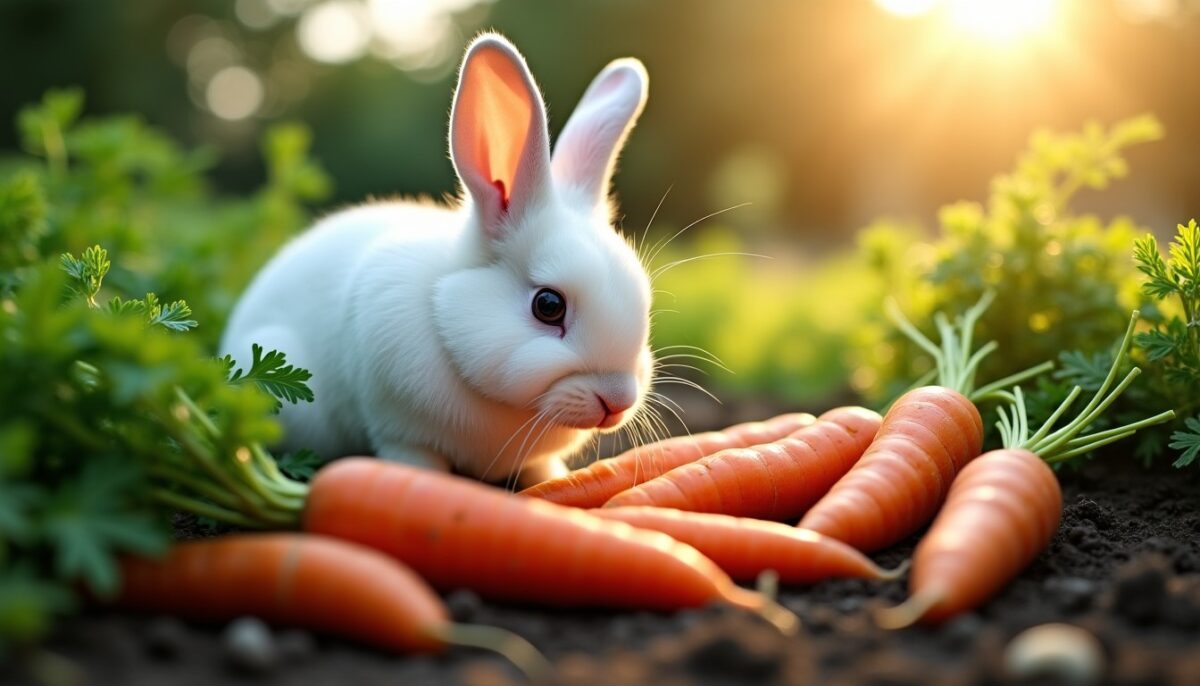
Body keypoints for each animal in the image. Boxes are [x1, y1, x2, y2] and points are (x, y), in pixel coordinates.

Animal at [220, 33, 653, 489]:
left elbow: (541, 468)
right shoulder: (402, 433)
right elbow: (415, 461)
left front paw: (554, 480)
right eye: (548, 306)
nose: (617, 402)